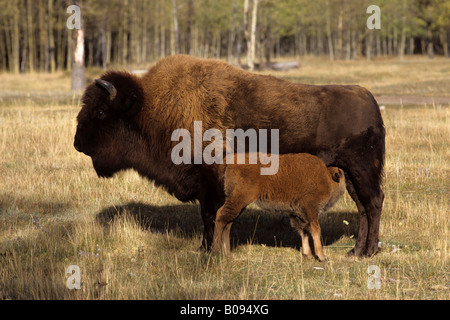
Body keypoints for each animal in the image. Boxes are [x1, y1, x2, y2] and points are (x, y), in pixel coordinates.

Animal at [213, 152, 346, 260]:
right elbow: (315, 230)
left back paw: (228, 254)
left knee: (228, 223)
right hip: (239, 199)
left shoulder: (298, 214)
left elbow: (304, 232)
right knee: (221, 216)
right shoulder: (310, 210)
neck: (326, 178)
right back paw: (216, 251)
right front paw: (322, 256)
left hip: (239, 203)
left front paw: (307, 255)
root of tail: (230, 160)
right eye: (342, 175)